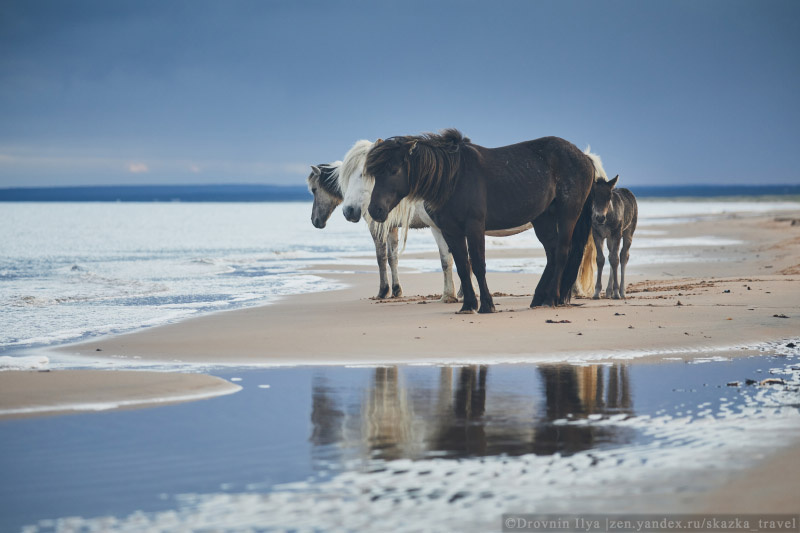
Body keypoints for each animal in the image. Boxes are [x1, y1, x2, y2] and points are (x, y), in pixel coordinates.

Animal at [366, 129, 596, 312]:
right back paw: (538, 298)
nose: (375, 210)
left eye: (394, 170)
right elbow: (461, 265)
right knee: (552, 252)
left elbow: (477, 263)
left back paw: (551, 299)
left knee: (562, 252)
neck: (453, 179)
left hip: (568, 214)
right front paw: (468, 305)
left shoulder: (474, 226)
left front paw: (487, 305)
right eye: (375, 174)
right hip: (543, 218)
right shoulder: (451, 231)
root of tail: (584, 158)